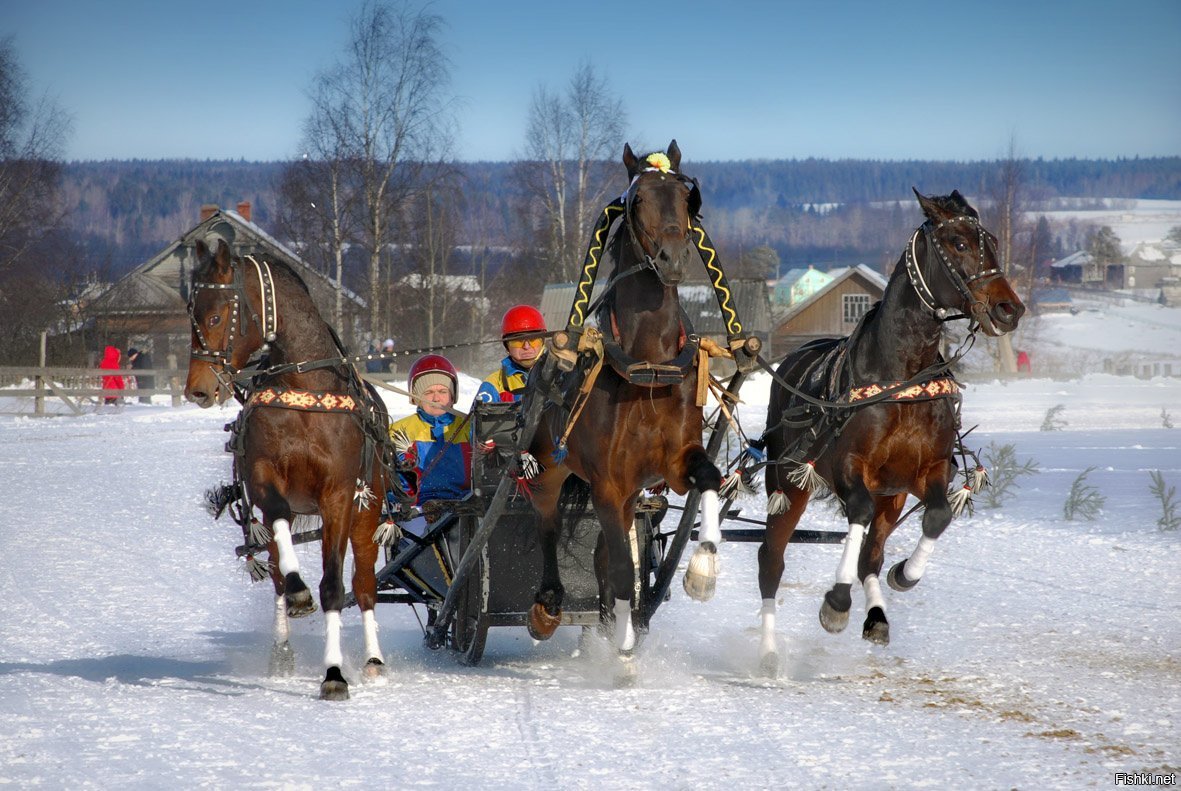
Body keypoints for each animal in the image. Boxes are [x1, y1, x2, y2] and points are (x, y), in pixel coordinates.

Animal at [184, 239, 396, 698]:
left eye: (216, 316)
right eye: (191, 314)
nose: (198, 389)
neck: (305, 388)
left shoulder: (339, 496)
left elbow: (335, 587)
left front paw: (334, 673)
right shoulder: (266, 480)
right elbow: (282, 542)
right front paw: (299, 594)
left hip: (367, 514)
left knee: (365, 586)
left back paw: (373, 660)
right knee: (278, 573)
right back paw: (283, 643)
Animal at [529, 139, 727, 661]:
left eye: (686, 198)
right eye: (637, 202)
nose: (673, 258)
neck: (648, 369)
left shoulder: (674, 463)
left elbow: (709, 478)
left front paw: (703, 567)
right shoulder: (607, 483)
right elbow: (622, 570)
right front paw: (623, 652)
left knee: (602, 554)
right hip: (549, 469)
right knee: (549, 523)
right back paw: (550, 603)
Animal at [755, 187, 1025, 675]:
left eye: (993, 240)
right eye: (958, 242)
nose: (1009, 309)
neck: (903, 377)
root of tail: (793, 359)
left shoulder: (923, 472)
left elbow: (936, 517)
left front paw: (905, 574)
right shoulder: (848, 468)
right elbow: (857, 514)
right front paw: (836, 603)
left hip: (891, 496)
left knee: (871, 556)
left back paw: (877, 616)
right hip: (788, 484)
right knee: (772, 560)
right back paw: (768, 651)